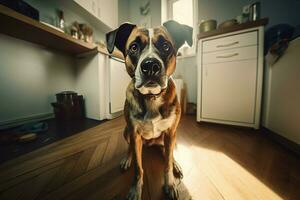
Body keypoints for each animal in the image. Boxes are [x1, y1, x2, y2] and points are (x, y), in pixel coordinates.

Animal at [106, 19, 193, 200]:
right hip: (127, 132)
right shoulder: (134, 134)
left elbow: (167, 163)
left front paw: (170, 184)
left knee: (168, 153)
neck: (152, 97)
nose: (151, 65)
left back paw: (175, 164)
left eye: (166, 46)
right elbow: (138, 168)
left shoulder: (170, 132)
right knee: (131, 149)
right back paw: (127, 158)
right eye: (133, 47)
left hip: (170, 137)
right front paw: (135, 188)